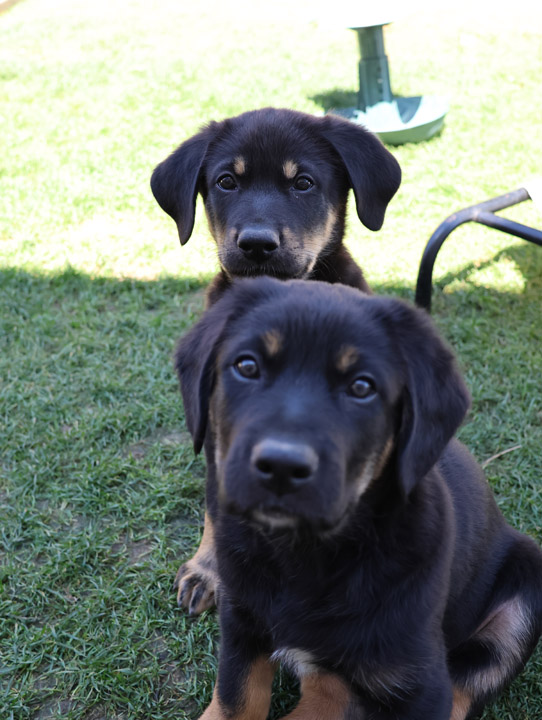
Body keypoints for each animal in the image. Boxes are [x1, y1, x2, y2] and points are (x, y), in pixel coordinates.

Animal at [176, 278, 542, 720]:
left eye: (362, 387)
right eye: (246, 366)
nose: (281, 466)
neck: (304, 558)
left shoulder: (421, 683)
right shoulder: (241, 626)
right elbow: (235, 698)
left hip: (524, 595)